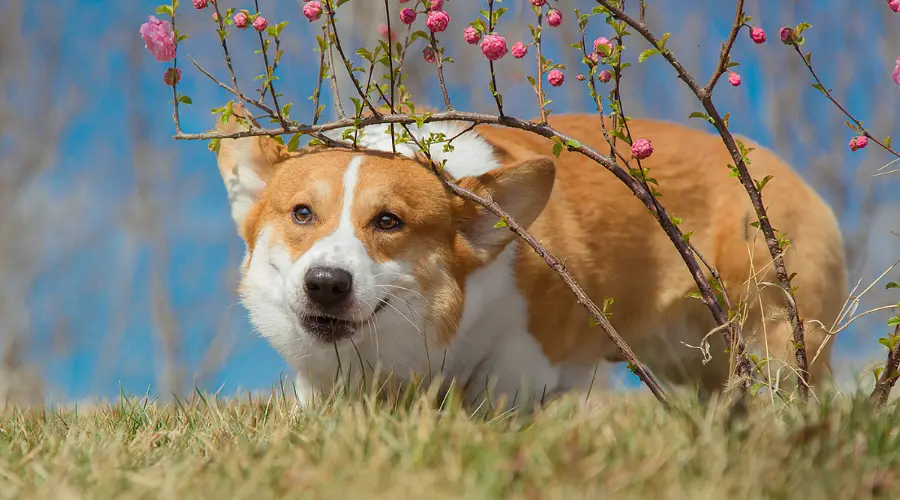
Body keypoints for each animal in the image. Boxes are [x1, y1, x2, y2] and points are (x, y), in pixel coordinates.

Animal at [214, 107, 848, 408]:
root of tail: (782, 170)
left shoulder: (526, 357)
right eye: (301, 213)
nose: (326, 283)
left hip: (774, 331)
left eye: (388, 221)